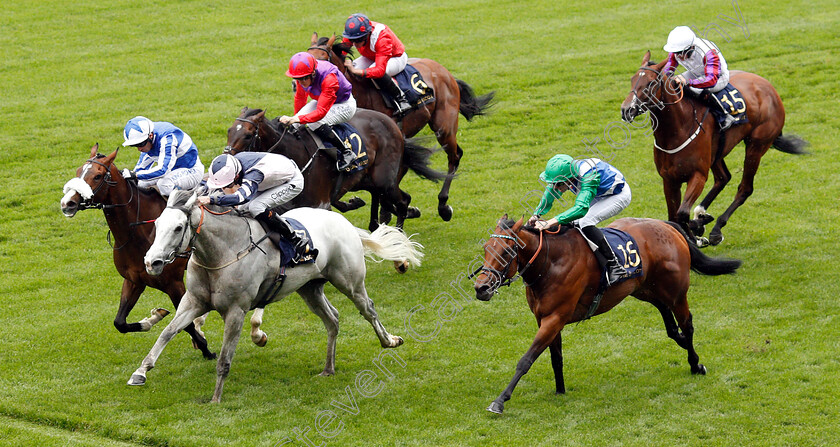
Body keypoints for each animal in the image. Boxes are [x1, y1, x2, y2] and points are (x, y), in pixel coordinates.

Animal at [306, 34, 492, 223]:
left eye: (322, 59)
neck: (361, 92)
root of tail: (443, 70)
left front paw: (393, 212)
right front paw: (398, 210)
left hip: (444, 126)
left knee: (454, 156)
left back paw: (443, 206)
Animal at [472, 215, 740, 414]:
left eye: (507, 252)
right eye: (486, 248)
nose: (481, 288)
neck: (550, 262)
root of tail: (667, 225)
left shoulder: (555, 318)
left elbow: (526, 359)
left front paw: (500, 401)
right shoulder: (546, 319)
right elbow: (555, 357)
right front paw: (560, 389)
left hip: (676, 292)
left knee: (687, 323)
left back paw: (695, 364)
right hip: (643, 288)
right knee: (670, 322)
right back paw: (682, 342)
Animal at [624, 51, 808, 247]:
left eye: (651, 83)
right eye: (632, 79)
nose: (626, 110)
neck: (677, 131)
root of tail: (769, 87)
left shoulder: (698, 175)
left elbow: (682, 213)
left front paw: (697, 235)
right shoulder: (669, 179)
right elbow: (673, 217)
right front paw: (695, 228)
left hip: (757, 146)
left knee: (745, 188)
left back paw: (715, 229)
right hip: (717, 152)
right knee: (723, 178)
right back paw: (700, 215)